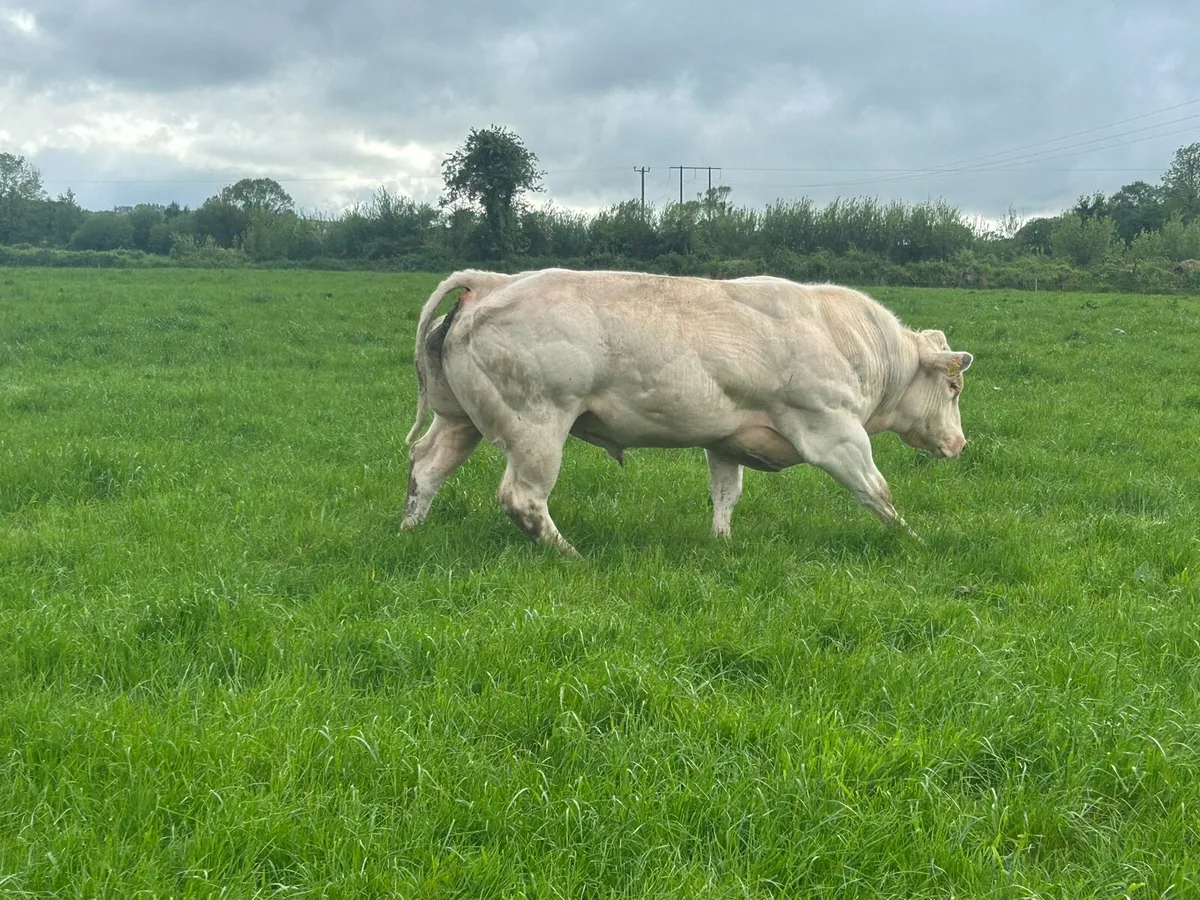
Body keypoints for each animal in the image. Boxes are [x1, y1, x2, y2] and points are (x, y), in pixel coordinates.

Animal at [402, 268, 974, 557]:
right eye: (952, 387)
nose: (960, 444)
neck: (843, 336)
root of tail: (492, 281)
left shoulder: (725, 441)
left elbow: (726, 495)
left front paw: (721, 543)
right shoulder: (833, 433)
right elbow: (877, 492)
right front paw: (913, 540)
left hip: (460, 420)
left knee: (426, 467)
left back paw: (410, 530)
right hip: (537, 426)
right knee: (522, 498)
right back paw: (569, 555)